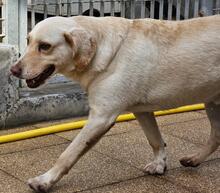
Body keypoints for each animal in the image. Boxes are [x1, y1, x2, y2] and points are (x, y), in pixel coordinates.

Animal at [10, 15, 220, 192]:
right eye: (28, 41)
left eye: (45, 46)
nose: (13, 70)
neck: (105, 50)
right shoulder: (142, 112)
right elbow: (155, 140)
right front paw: (159, 164)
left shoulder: (101, 117)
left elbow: (68, 153)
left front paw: (44, 181)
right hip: (212, 103)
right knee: (215, 137)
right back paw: (194, 159)